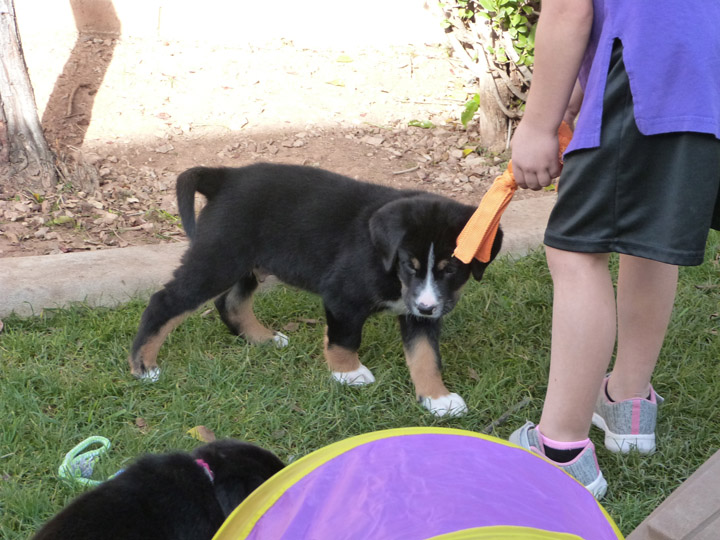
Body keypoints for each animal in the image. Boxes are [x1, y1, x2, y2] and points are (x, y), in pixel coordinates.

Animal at [128, 165, 500, 418]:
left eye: (451, 269)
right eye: (410, 264)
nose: (426, 307)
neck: (387, 262)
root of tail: (225, 176)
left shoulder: (418, 314)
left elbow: (425, 357)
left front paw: (437, 398)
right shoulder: (343, 296)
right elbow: (345, 339)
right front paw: (348, 374)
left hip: (248, 262)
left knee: (230, 302)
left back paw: (263, 339)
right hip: (218, 259)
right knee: (165, 302)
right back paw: (143, 366)